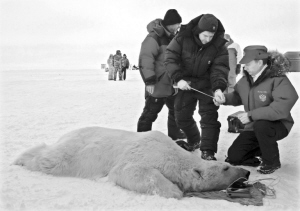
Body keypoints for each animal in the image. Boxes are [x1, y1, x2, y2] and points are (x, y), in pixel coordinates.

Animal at [13, 126, 248, 199]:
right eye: (226, 167)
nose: (246, 172)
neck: (173, 154)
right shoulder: (144, 152)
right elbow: (127, 171)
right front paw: (173, 190)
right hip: (76, 153)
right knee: (51, 160)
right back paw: (20, 159)